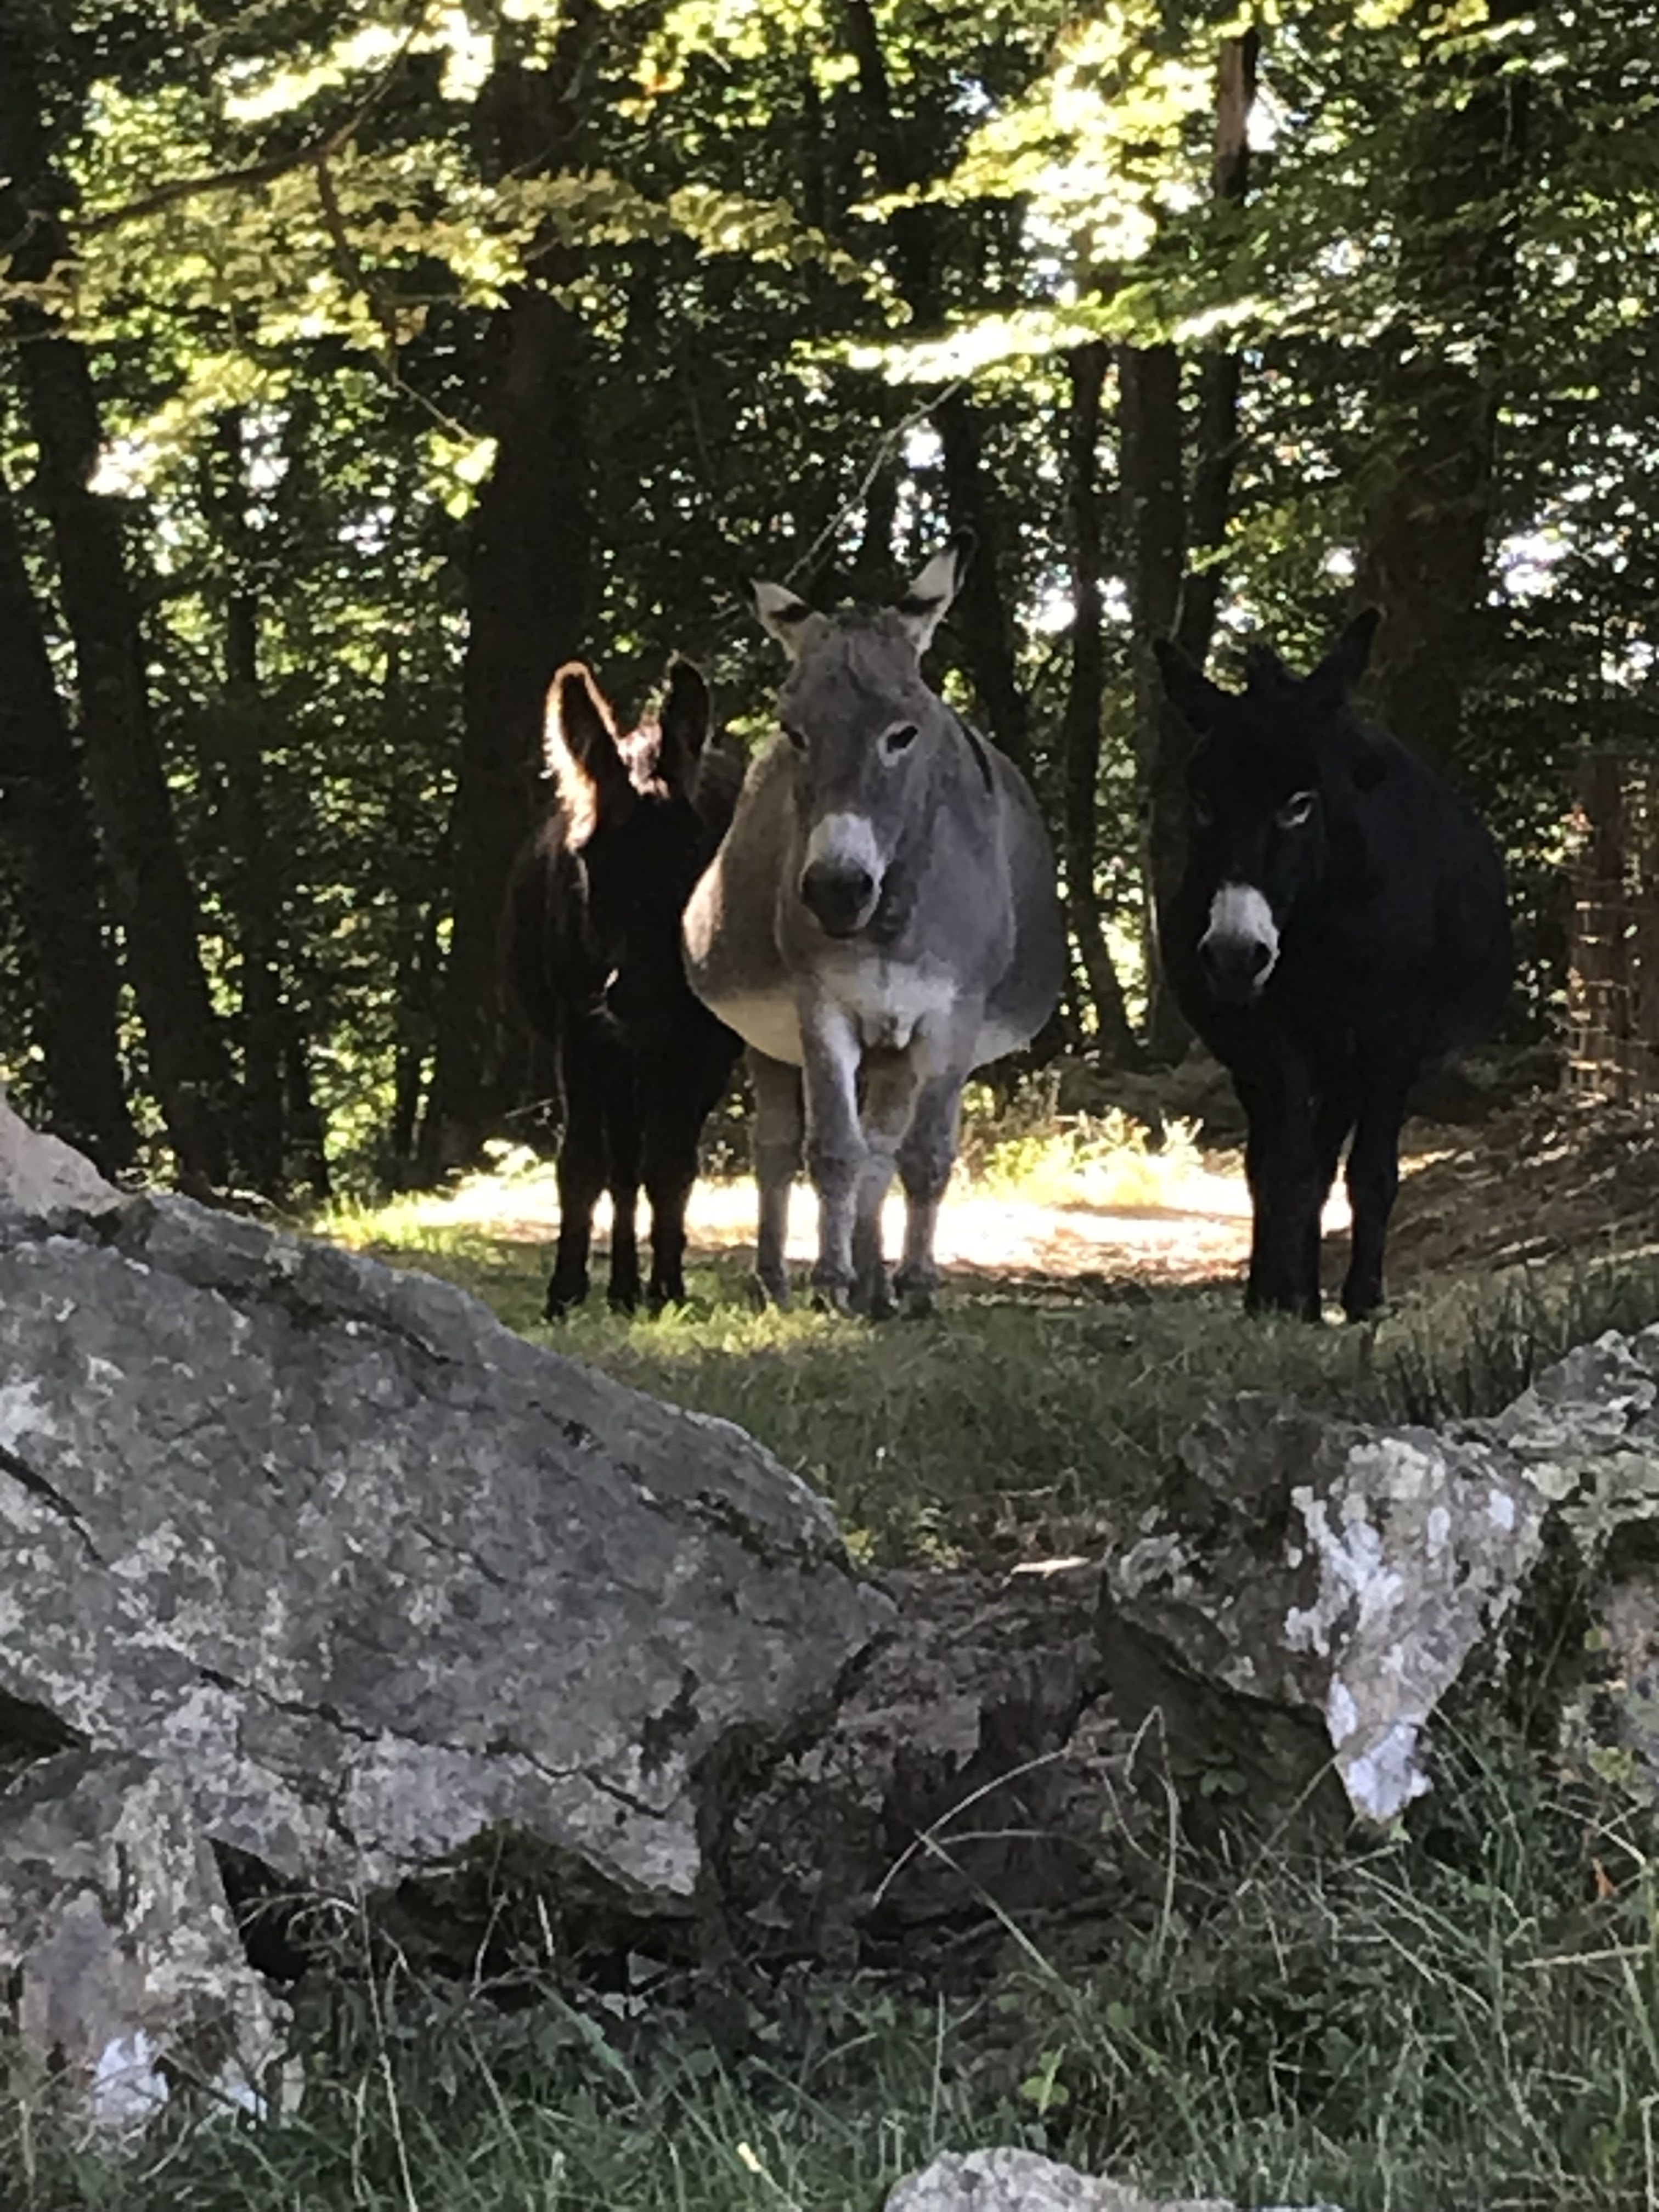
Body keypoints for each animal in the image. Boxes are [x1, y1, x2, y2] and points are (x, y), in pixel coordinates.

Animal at [503, 657, 743, 1319]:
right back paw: (619, 1287)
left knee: (641, 1161)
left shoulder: (702, 1044)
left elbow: (672, 1166)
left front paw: (667, 1287)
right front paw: (565, 1291)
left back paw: (634, 1287)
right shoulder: (580, 1031)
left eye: (694, 853)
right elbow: (583, 1165)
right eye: (589, 855)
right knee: (621, 1164)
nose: (641, 999)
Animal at [681, 536, 1066, 1317]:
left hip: (897, 1047)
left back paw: (876, 1284)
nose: (836, 891)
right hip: (768, 1041)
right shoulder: (821, 1007)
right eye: (794, 733)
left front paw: (914, 1285)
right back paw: (780, 1279)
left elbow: (923, 1157)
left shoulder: (951, 1018)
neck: (890, 917)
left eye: (903, 734)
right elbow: (832, 1150)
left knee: (884, 1151)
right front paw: (829, 1280)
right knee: (778, 1148)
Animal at [1155, 609, 1512, 1321]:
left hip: (1350, 1063)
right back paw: (1278, 1291)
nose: (1234, 954)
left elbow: (1370, 1173)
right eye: (1202, 801)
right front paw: (1283, 1297)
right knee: (1278, 1160)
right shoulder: (1268, 1040)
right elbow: (1284, 1168)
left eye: (1300, 802)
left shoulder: (1393, 1040)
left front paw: (1362, 1299)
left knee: (1328, 1158)